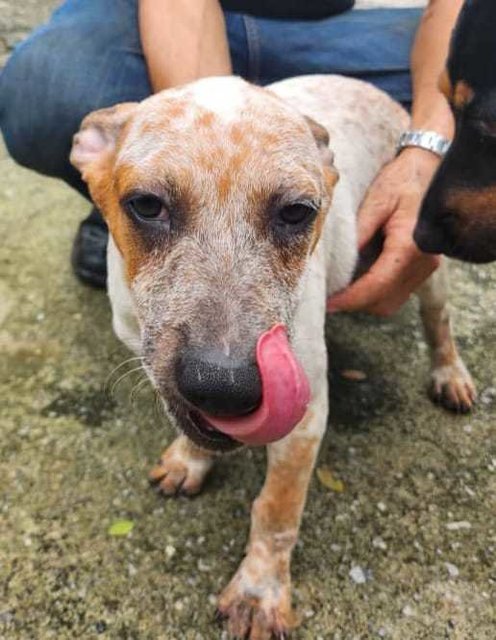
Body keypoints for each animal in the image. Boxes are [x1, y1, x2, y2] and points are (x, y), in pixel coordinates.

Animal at [70, 76, 476, 640]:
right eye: (146, 205)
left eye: (297, 213)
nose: (223, 385)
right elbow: (192, 425)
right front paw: (189, 459)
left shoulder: (305, 417)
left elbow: (277, 510)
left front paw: (259, 592)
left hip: (425, 262)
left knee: (440, 323)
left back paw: (450, 374)